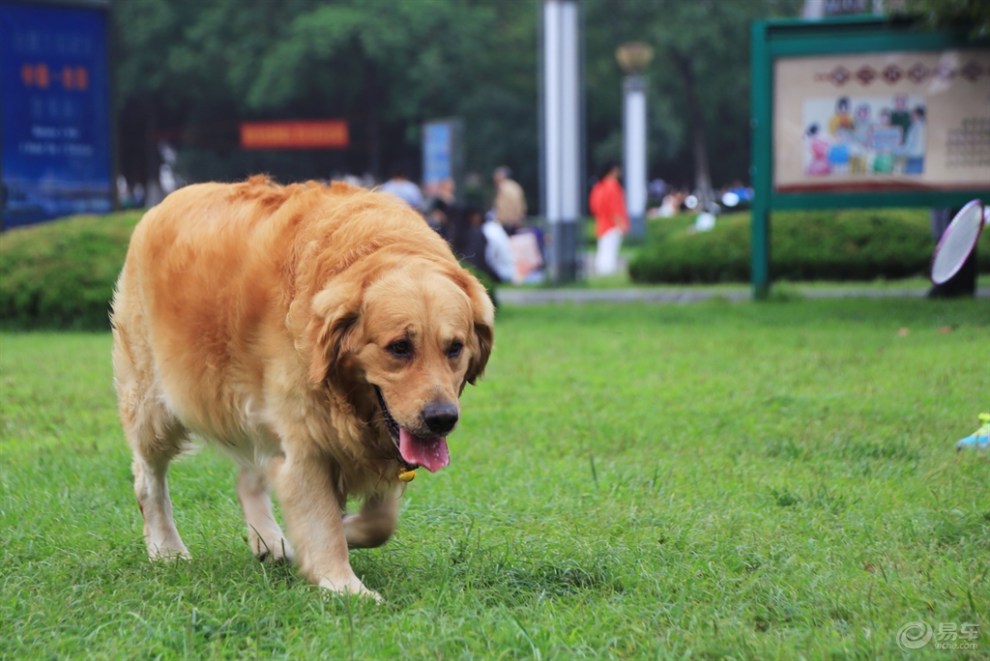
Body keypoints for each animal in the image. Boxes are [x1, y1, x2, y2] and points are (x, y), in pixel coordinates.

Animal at [113, 175, 496, 600]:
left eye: (455, 347)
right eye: (399, 347)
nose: (442, 419)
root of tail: (167, 200)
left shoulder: (370, 446)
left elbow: (382, 521)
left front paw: (341, 534)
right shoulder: (307, 441)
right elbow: (322, 521)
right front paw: (345, 585)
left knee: (249, 476)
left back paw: (269, 541)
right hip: (155, 405)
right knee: (148, 478)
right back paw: (167, 548)